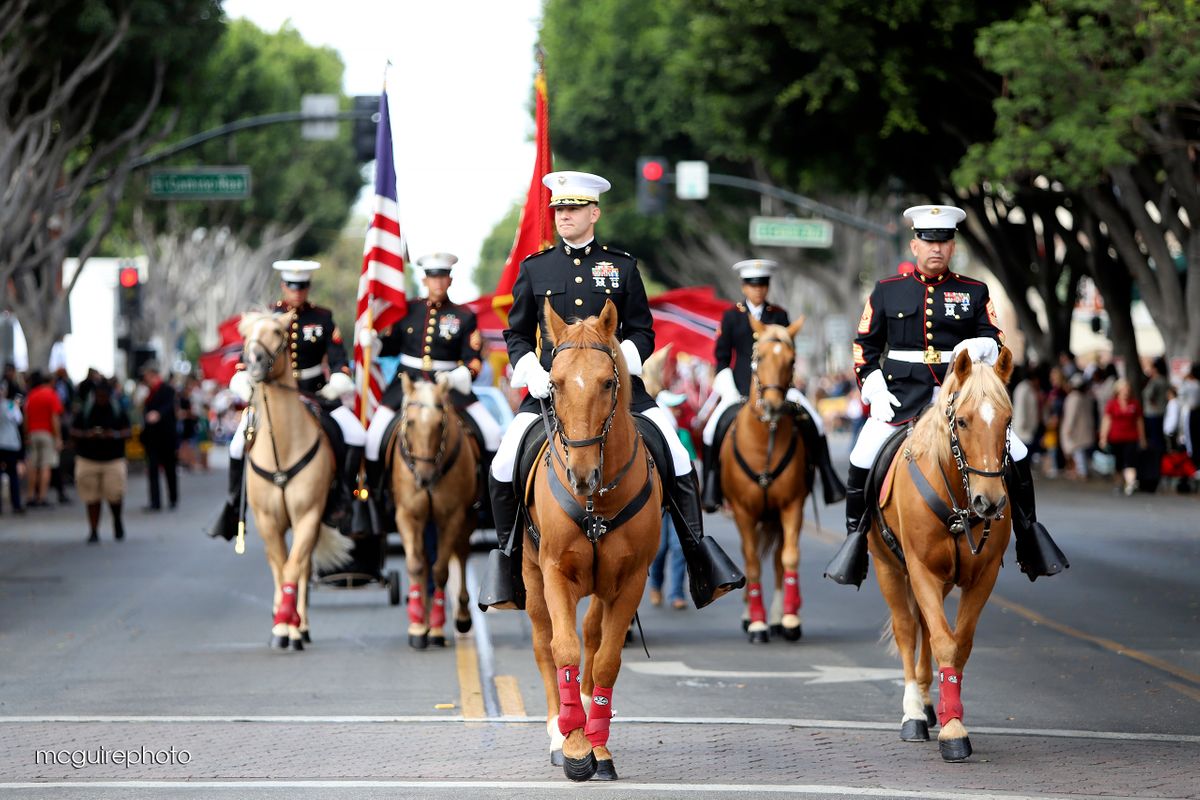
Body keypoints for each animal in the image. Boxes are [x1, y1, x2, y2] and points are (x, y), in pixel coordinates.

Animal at [237, 311, 350, 652]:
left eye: (277, 331)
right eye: (246, 333)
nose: (253, 362)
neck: (282, 449)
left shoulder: (308, 516)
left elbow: (293, 567)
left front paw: (290, 623)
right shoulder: (267, 520)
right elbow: (279, 566)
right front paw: (280, 626)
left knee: (302, 567)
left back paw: (301, 626)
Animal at [386, 376, 475, 652]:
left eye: (440, 423)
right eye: (411, 422)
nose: (424, 479)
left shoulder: (452, 517)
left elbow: (441, 570)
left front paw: (435, 623)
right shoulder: (407, 515)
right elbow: (416, 565)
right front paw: (417, 623)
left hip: (465, 521)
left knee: (461, 555)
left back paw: (459, 616)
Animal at [525, 299, 662, 782]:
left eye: (607, 382)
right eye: (555, 382)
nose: (582, 476)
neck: (597, 503)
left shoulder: (632, 579)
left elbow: (606, 658)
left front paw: (598, 746)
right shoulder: (554, 571)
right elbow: (561, 647)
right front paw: (574, 744)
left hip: (604, 585)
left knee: (593, 633)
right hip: (531, 579)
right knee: (544, 641)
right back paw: (558, 728)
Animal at [720, 314, 806, 642]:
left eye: (792, 360)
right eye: (759, 358)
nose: (772, 405)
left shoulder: (792, 506)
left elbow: (789, 558)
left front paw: (791, 618)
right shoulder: (743, 512)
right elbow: (752, 564)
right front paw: (757, 623)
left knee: (779, 560)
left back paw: (780, 616)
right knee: (751, 557)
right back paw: (751, 615)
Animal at [873, 345, 1012, 762]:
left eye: (1008, 420)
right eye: (963, 422)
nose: (990, 502)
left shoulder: (982, 577)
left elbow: (957, 644)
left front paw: (951, 720)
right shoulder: (920, 570)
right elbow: (942, 641)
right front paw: (949, 728)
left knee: (922, 625)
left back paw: (925, 699)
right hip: (887, 567)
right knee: (907, 628)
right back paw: (914, 711)